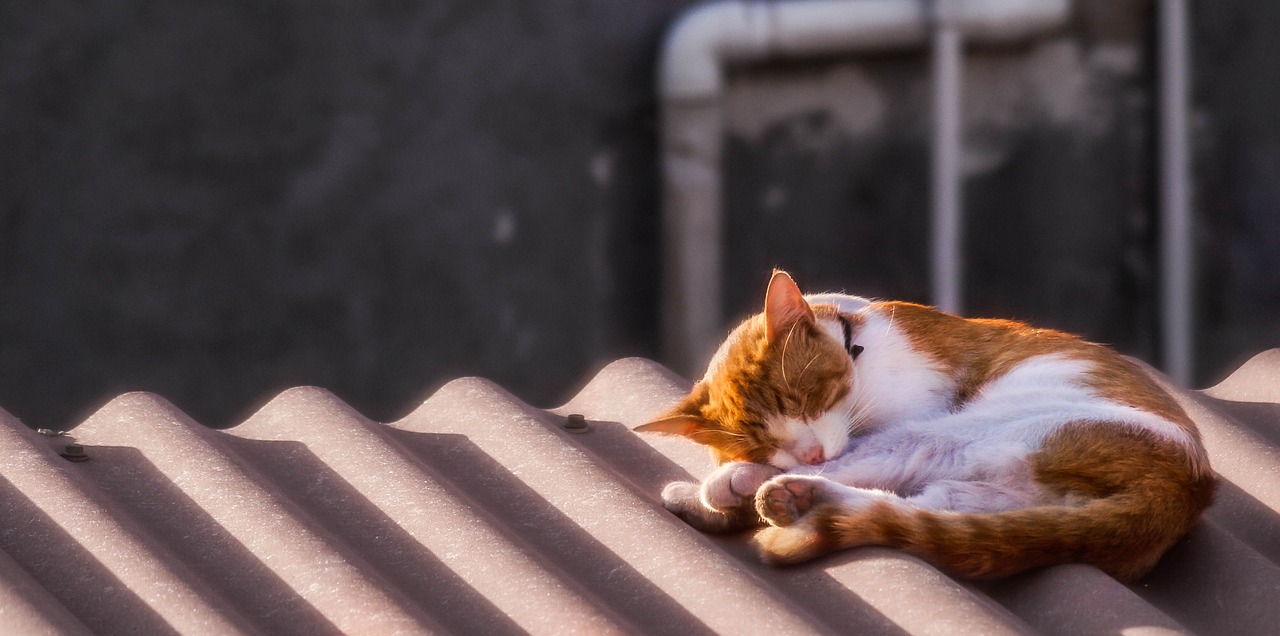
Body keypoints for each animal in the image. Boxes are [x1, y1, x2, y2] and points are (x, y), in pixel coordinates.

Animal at [640, 267, 1218, 580]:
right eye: (759, 441)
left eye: (804, 401)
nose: (808, 453)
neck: (858, 339)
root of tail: (1188, 487)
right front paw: (727, 482)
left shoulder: (910, 411)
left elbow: (846, 454)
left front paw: (730, 481)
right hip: (994, 498)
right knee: (913, 509)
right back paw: (783, 498)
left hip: (959, 434)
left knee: (872, 476)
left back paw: (762, 492)